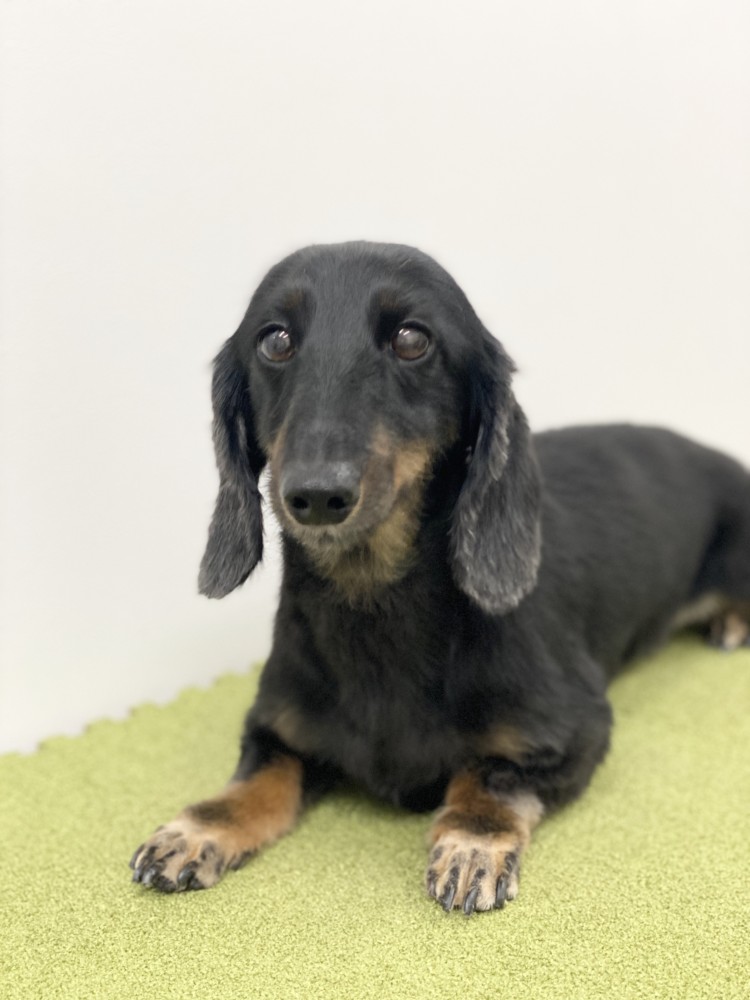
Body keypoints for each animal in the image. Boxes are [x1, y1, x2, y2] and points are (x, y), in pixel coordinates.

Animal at [130, 241, 750, 913]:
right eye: (274, 340)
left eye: (411, 339)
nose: (316, 495)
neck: (373, 605)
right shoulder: (275, 726)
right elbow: (257, 779)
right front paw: (197, 829)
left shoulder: (577, 730)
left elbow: (487, 775)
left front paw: (472, 845)